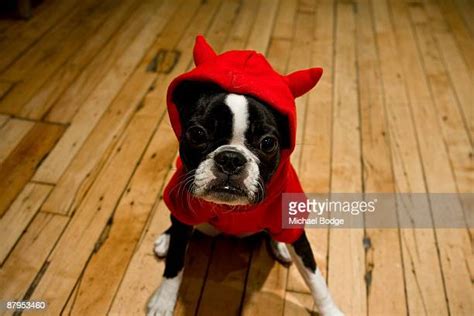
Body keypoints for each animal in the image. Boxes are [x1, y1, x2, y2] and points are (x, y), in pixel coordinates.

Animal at [146, 37, 342, 316]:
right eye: (197, 134)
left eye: (268, 143)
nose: (230, 158)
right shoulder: (183, 208)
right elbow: (175, 263)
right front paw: (163, 300)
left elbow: (315, 277)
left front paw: (330, 309)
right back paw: (166, 238)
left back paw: (280, 245)